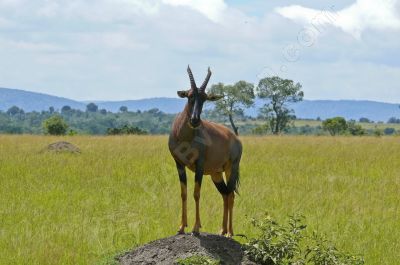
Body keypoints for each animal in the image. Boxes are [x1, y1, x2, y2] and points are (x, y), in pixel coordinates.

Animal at [168, 65, 242, 235]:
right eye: (189, 96)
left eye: (205, 98)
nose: (195, 120)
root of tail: (235, 138)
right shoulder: (178, 164)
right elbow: (184, 193)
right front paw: (181, 227)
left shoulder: (200, 165)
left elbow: (196, 193)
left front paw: (196, 228)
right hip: (216, 174)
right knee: (225, 195)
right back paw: (221, 230)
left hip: (231, 168)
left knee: (231, 195)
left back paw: (230, 232)